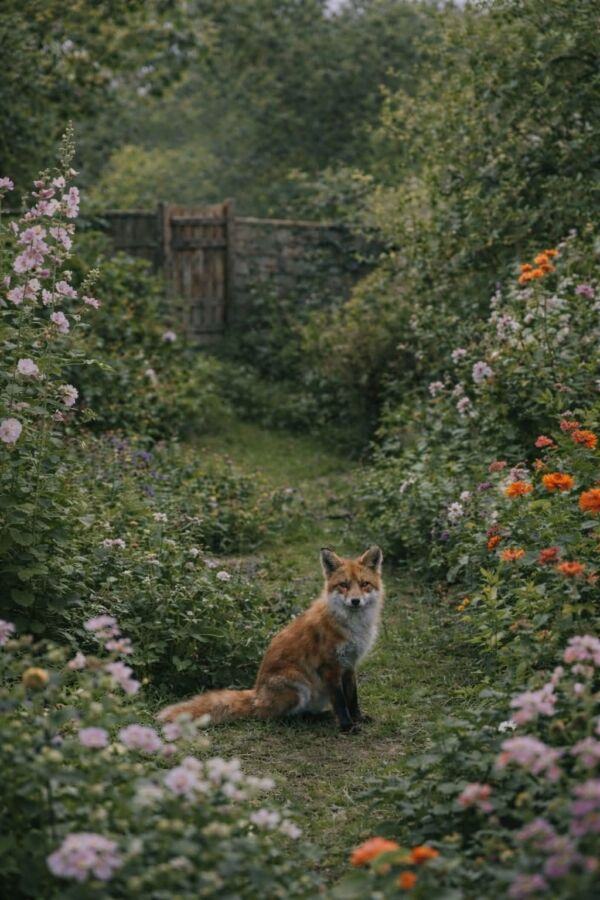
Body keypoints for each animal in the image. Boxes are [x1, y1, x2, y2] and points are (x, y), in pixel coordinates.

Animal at [158, 545, 384, 733]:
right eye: (343, 585)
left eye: (364, 584)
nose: (355, 601)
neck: (353, 627)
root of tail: (257, 695)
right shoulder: (330, 666)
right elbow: (340, 702)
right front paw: (347, 726)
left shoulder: (349, 664)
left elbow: (352, 698)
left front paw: (358, 718)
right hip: (298, 685)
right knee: (271, 716)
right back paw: (307, 719)